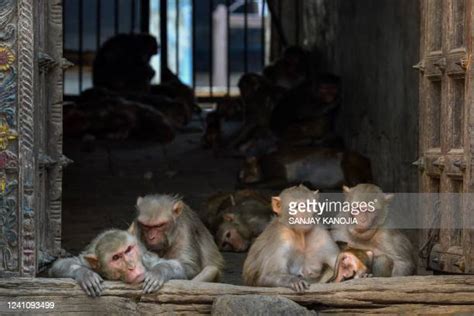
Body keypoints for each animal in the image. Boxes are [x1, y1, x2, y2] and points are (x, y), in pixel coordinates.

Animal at [49, 230, 186, 296]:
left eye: (128, 250)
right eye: (116, 257)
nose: (132, 266)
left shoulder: (146, 260)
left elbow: (183, 267)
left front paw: (157, 273)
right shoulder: (89, 263)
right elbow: (57, 266)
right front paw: (85, 274)